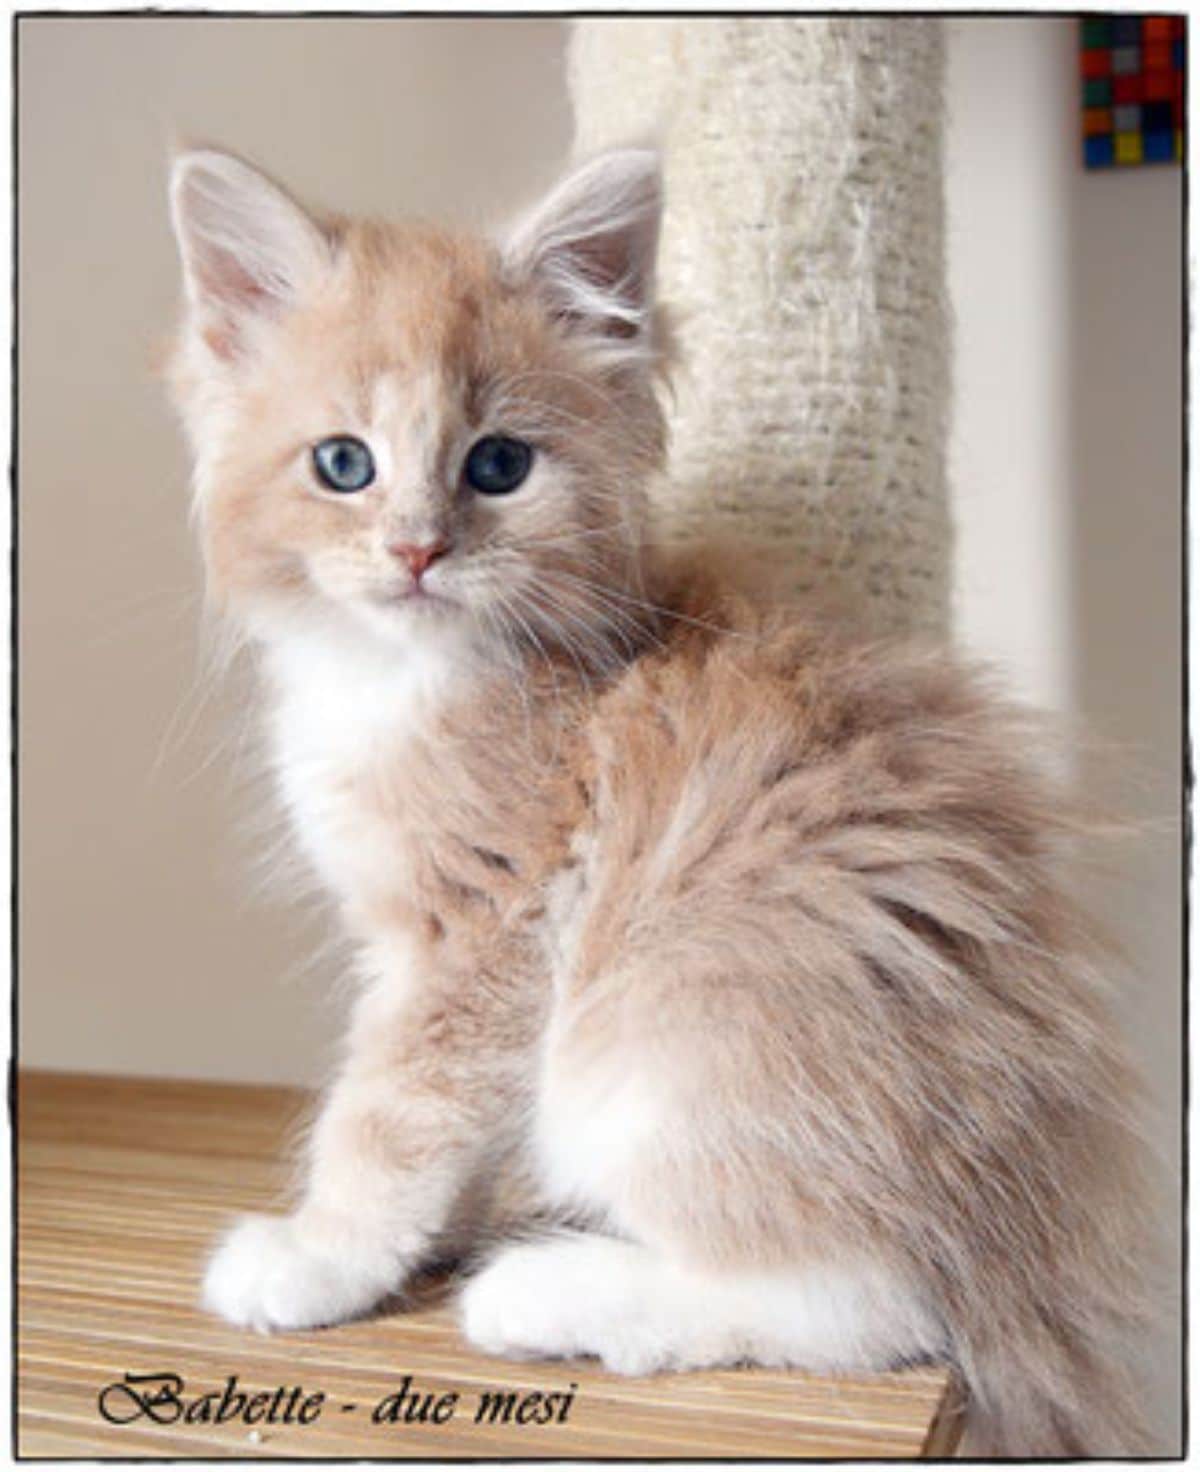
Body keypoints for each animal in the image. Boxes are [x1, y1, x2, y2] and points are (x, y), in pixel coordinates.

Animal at [166, 143, 1154, 1454]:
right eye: (343, 463)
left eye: (499, 464)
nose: (419, 550)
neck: (405, 678)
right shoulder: (444, 961)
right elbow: (456, 1122)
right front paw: (429, 1234)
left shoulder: (486, 926)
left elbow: (391, 1111)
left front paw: (322, 1256)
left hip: (670, 1041)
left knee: (872, 1306)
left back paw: (551, 1291)